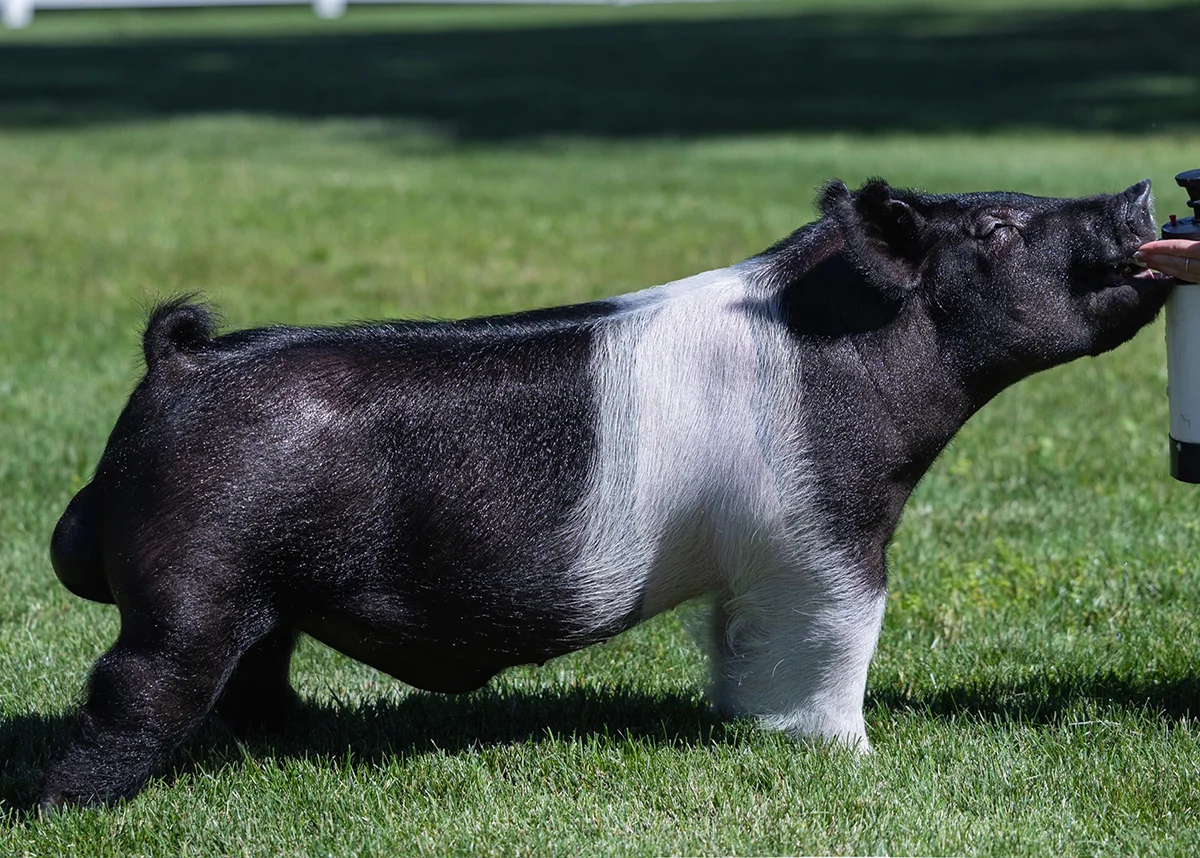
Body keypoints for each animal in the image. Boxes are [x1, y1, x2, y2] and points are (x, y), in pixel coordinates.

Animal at [42, 178, 1169, 807]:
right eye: (998, 227)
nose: (1140, 194)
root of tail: (180, 363)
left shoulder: (760, 563)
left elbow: (744, 642)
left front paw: (750, 725)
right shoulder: (830, 525)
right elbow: (845, 633)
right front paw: (854, 758)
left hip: (260, 591)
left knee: (256, 677)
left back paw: (305, 739)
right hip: (195, 580)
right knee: (131, 690)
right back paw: (68, 813)